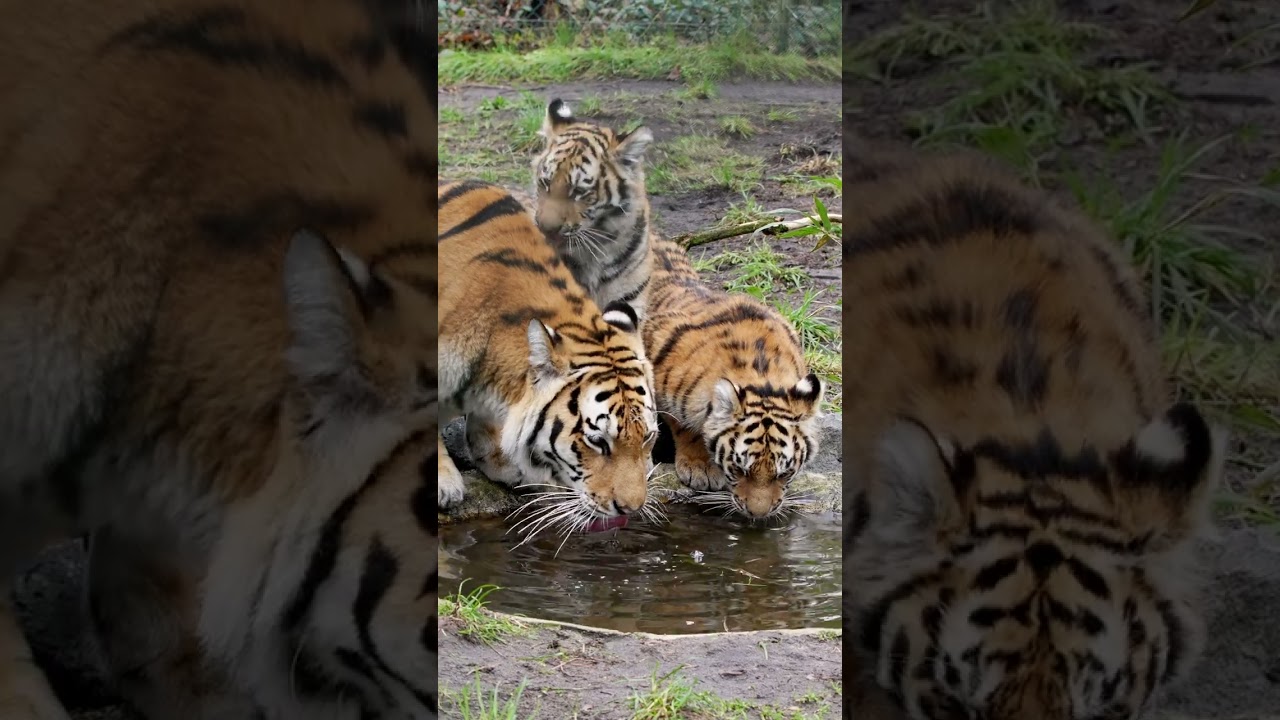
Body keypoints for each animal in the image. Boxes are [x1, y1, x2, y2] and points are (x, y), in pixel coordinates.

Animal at [642, 239, 824, 520]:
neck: (762, 374)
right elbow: (683, 423)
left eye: (784, 473)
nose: (757, 514)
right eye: (739, 470)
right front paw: (700, 467)